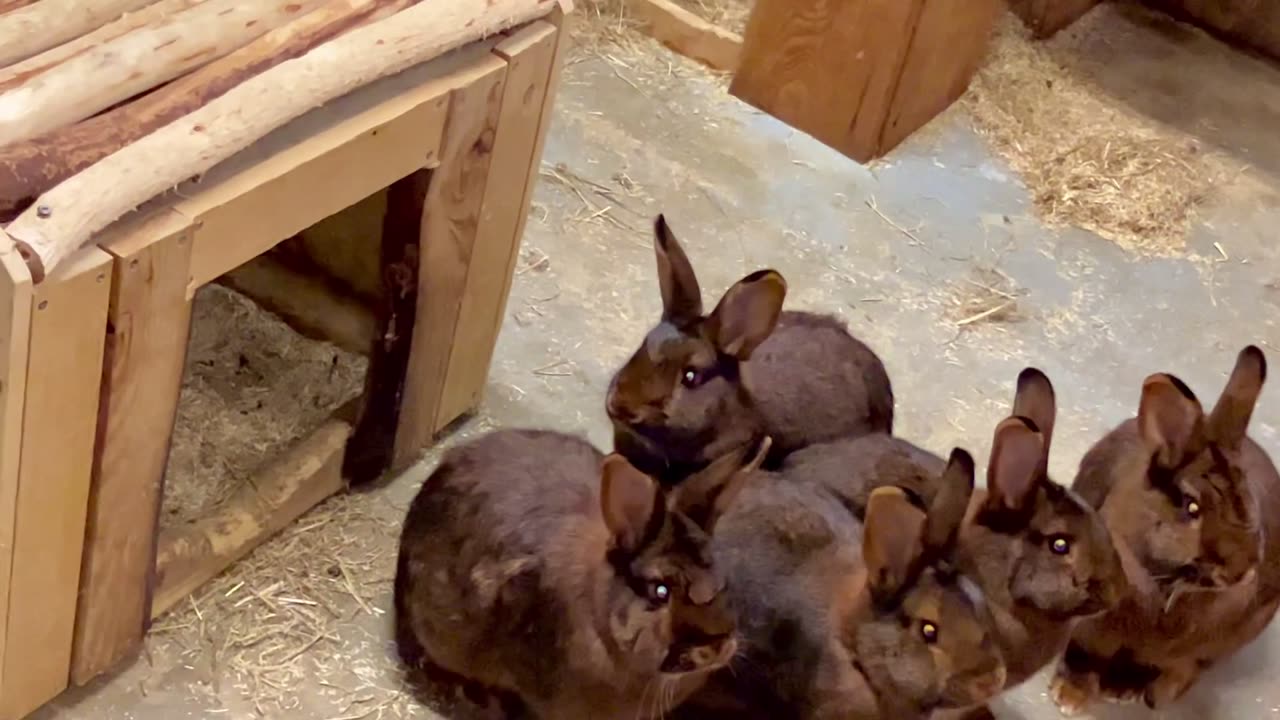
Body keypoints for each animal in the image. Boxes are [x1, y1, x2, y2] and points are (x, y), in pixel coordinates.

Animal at [1049, 345, 1280, 707]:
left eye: (1248, 499)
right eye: (1192, 507)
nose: (1242, 571)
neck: (1164, 582)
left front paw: (1131, 690)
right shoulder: (1090, 630)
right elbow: (1084, 655)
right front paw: (1068, 696)